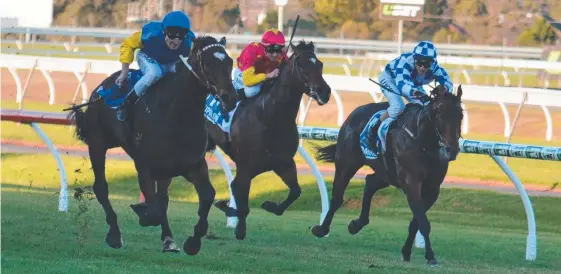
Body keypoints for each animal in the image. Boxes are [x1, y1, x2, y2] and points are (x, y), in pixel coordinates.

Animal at [66, 35, 237, 256]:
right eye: (207, 63)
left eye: (230, 62)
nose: (230, 97)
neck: (177, 114)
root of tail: (101, 90)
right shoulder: (145, 166)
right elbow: (153, 210)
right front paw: (141, 212)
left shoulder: (193, 165)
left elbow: (207, 196)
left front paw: (192, 242)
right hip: (97, 144)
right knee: (101, 187)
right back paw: (114, 234)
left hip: (165, 169)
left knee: (162, 198)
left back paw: (168, 239)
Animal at [206, 40, 330, 240]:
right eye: (303, 65)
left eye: (320, 64)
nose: (324, 92)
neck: (271, 117)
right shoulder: (246, 167)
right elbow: (239, 193)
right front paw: (238, 227)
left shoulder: (284, 163)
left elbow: (295, 192)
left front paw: (269, 205)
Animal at [308, 85, 462, 266]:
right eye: (441, 116)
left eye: (460, 115)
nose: (452, 150)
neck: (423, 142)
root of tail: (355, 112)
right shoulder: (411, 184)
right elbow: (423, 222)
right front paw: (430, 256)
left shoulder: (432, 189)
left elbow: (416, 221)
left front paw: (407, 251)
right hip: (346, 164)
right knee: (338, 197)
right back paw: (321, 229)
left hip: (386, 174)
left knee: (370, 182)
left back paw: (356, 224)